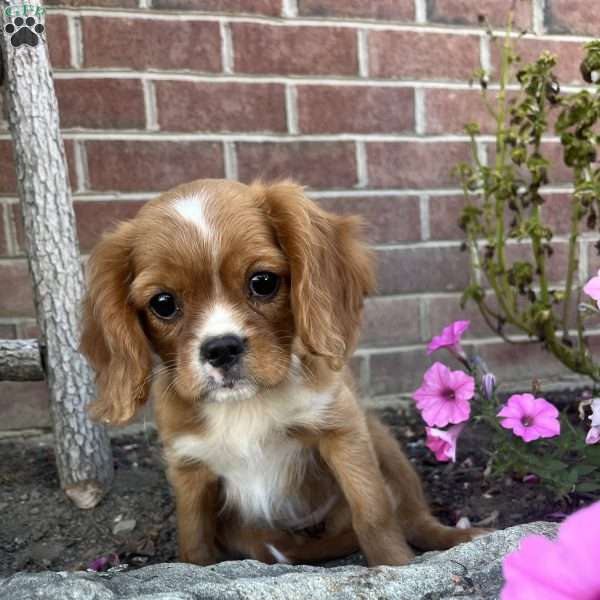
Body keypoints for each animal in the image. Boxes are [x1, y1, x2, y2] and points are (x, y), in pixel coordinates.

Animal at [81, 178, 482, 568]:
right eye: (162, 304)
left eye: (263, 281)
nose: (221, 347)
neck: (246, 405)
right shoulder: (189, 469)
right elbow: (194, 543)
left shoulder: (343, 429)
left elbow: (373, 511)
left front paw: (395, 566)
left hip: (384, 442)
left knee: (413, 516)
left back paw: (459, 536)